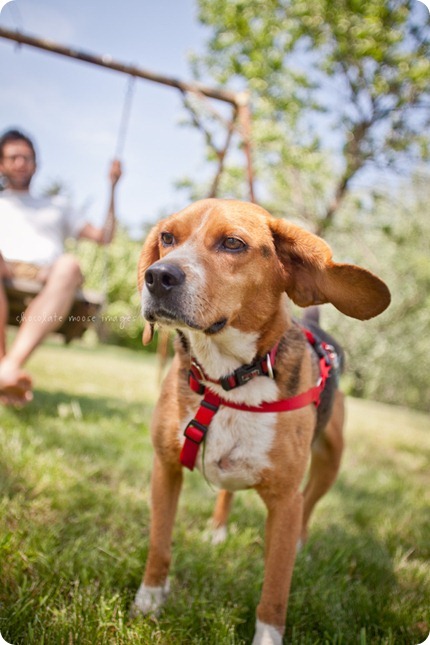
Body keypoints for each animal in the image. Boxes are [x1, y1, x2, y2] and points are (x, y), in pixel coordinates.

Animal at [133, 199, 392, 640]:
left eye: (233, 243)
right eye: (167, 237)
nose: (158, 276)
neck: (227, 381)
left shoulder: (285, 502)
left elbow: (275, 589)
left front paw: (267, 636)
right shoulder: (165, 467)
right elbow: (159, 545)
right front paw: (149, 600)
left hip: (329, 463)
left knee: (309, 508)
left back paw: (300, 547)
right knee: (226, 494)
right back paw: (217, 531)